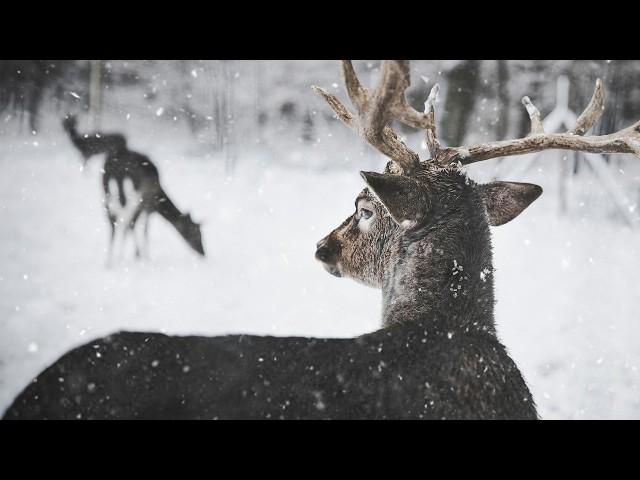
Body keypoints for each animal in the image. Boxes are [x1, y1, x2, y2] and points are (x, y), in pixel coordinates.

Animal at [61, 113, 204, 262]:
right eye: (197, 233)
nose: (203, 253)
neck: (159, 201)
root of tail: (114, 166)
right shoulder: (147, 204)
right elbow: (143, 228)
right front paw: (142, 255)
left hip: (106, 187)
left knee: (113, 219)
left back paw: (110, 260)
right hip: (131, 193)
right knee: (125, 221)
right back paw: (121, 256)